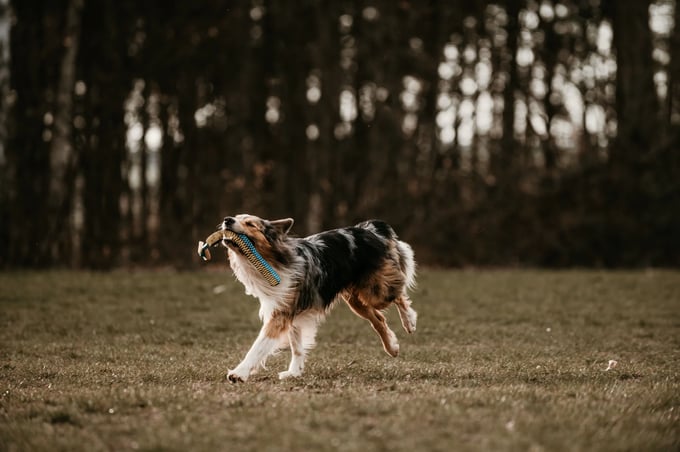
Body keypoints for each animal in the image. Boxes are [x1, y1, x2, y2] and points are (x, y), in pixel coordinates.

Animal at [220, 215, 418, 382]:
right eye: (236, 217)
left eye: (250, 224)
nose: (227, 220)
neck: (273, 260)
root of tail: (369, 229)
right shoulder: (290, 312)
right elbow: (297, 346)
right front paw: (294, 372)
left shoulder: (281, 314)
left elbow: (258, 347)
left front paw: (239, 373)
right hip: (355, 300)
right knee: (379, 318)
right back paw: (392, 347)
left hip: (376, 291)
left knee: (399, 295)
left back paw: (409, 321)